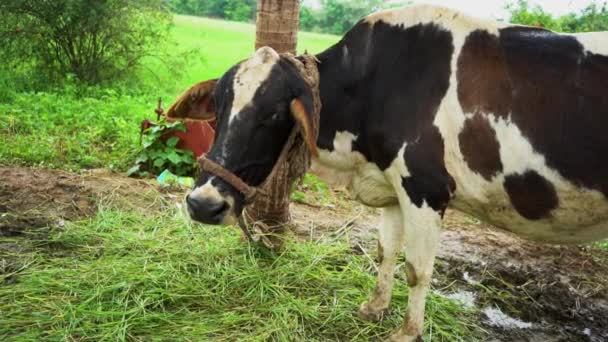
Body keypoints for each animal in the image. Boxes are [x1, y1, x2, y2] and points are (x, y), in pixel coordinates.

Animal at [171, 4, 608, 340]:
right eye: (219, 107)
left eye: (274, 115)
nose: (203, 204)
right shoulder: (392, 186)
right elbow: (386, 251)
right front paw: (374, 307)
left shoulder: (426, 188)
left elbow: (417, 269)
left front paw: (407, 332)